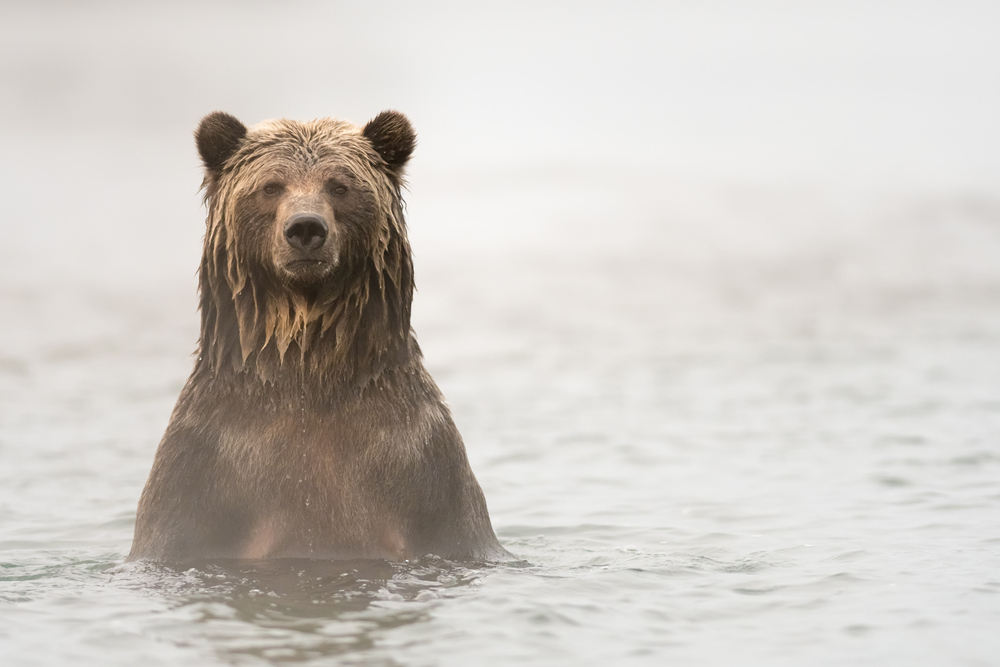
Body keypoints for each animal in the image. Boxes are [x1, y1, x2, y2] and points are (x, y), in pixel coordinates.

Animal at [126, 109, 512, 564]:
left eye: (340, 185)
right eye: (271, 185)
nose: (306, 228)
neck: (309, 370)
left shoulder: (425, 466)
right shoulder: (202, 462)